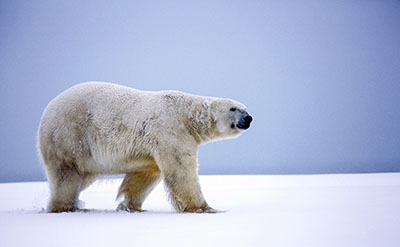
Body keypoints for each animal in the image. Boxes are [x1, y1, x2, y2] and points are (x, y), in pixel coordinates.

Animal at [36, 82, 252, 213]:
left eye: (245, 107)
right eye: (233, 108)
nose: (248, 118)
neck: (186, 115)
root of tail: (47, 111)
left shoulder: (151, 147)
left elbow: (145, 174)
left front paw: (131, 206)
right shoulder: (171, 130)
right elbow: (181, 172)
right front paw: (205, 208)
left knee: (80, 177)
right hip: (68, 136)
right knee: (67, 176)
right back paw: (67, 207)